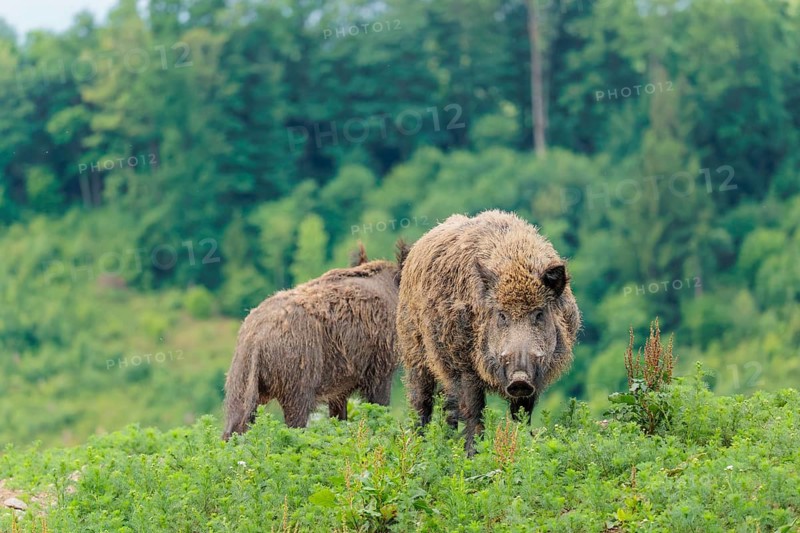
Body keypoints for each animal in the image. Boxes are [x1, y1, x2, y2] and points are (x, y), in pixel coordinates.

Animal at [222, 241, 409, 440]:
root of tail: (256, 341)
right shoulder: (380, 366)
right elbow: (379, 404)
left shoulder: (340, 384)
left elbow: (338, 414)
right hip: (297, 376)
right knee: (295, 421)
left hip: (240, 378)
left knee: (234, 423)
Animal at [396, 210, 581, 454]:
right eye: (502, 315)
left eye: (539, 313)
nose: (519, 379)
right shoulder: (466, 366)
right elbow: (474, 412)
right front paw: (472, 455)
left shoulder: (536, 379)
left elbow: (522, 416)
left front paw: (524, 446)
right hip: (414, 349)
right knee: (421, 401)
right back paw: (419, 447)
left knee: (448, 406)